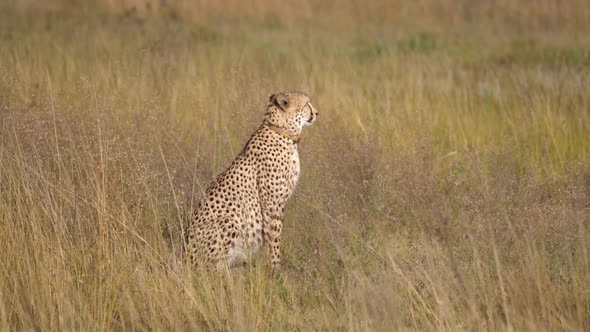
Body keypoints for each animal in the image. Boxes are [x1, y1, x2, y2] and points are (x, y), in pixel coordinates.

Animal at [188, 91, 320, 270]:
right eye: (307, 104)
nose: (317, 113)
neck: (281, 131)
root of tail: (184, 255)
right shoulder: (272, 203)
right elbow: (274, 237)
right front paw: (275, 268)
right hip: (229, 221)